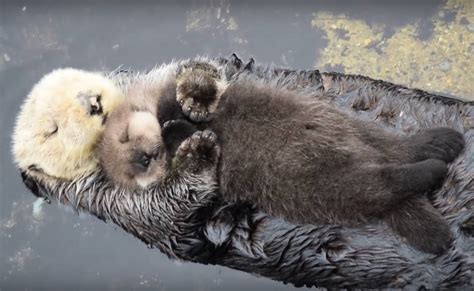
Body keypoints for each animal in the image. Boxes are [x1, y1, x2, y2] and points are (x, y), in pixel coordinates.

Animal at [98, 61, 464, 256]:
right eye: (139, 160)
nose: (148, 153)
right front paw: (185, 133)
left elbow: (187, 93)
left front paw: (193, 98)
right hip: (327, 184)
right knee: (384, 183)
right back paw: (434, 175)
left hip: (347, 126)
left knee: (395, 148)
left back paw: (441, 143)